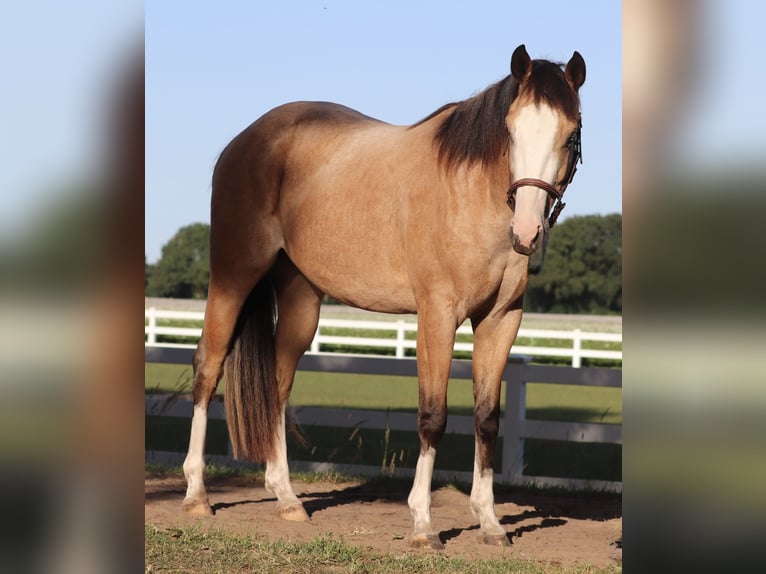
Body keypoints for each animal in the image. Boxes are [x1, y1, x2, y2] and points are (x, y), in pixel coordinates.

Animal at [181, 44, 585, 550]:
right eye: (510, 131)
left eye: (570, 135)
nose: (527, 231)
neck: (470, 195)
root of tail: (243, 141)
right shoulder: (437, 315)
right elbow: (433, 416)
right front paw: (423, 526)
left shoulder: (501, 320)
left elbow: (487, 417)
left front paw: (490, 522)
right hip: (234, 276)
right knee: (207, 366)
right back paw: (197, 495)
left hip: (300, 299)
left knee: (277, 383)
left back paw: (288, 499)